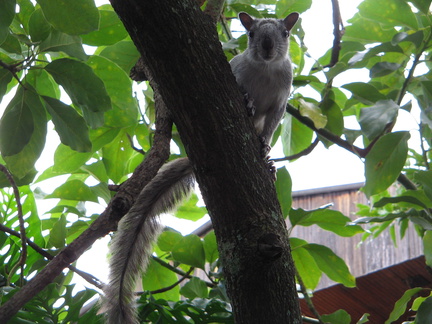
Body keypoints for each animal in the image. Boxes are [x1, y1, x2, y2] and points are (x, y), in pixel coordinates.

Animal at [103, 11, 298, 322]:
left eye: (285, 33)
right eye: (251, 34)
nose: (267, 46)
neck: (266, 69)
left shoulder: (280, 101)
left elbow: (270, 126)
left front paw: (265, 148)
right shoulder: (236, 73)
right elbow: (245, 94)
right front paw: (247, 101)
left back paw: (268, 165)